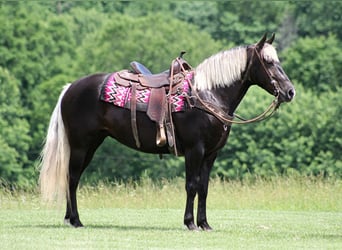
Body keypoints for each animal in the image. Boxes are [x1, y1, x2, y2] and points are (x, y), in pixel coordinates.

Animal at [38, 33, 296, 230]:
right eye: (268, 62)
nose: (290, 91)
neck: (207, 95)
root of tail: (70, 87)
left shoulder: (211, 154)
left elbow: (204, 187)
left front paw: (204, 224)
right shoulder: (195, 150)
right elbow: (191, 185)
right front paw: (190, 223)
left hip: (92, 144)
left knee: (73, 178)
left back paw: (71, 219)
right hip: (81, 145)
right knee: (72, 178)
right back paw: (76, 220)